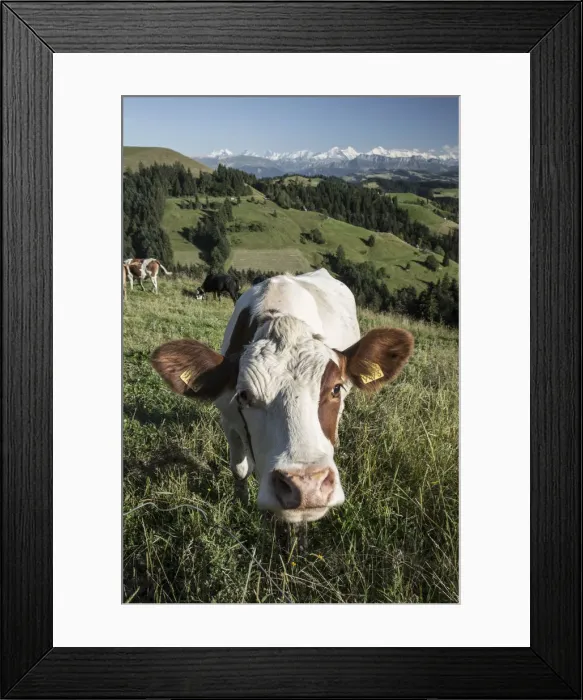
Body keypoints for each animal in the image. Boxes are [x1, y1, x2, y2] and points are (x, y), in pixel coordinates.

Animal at [151, 269, 414, 525]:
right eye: (243, 395)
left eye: (336, 388)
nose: (307, 487)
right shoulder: (228, 418)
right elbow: (239, 468)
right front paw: (241, 500)